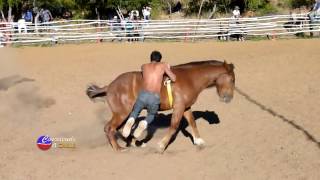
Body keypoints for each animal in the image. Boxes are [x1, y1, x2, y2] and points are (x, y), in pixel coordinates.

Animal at [87, 60, 235, 152]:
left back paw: (134, 142)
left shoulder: (186, 107)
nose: (229, 98)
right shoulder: (179, 107)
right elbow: (174, 126)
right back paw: (119, 148)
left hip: (127, 113)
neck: (190, 78)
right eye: (232, 80)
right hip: (122, 113)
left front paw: (199, 141)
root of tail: (110, 86)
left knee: (122, 128)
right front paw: (162, 145)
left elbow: (192, 122)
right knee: (110, 128)